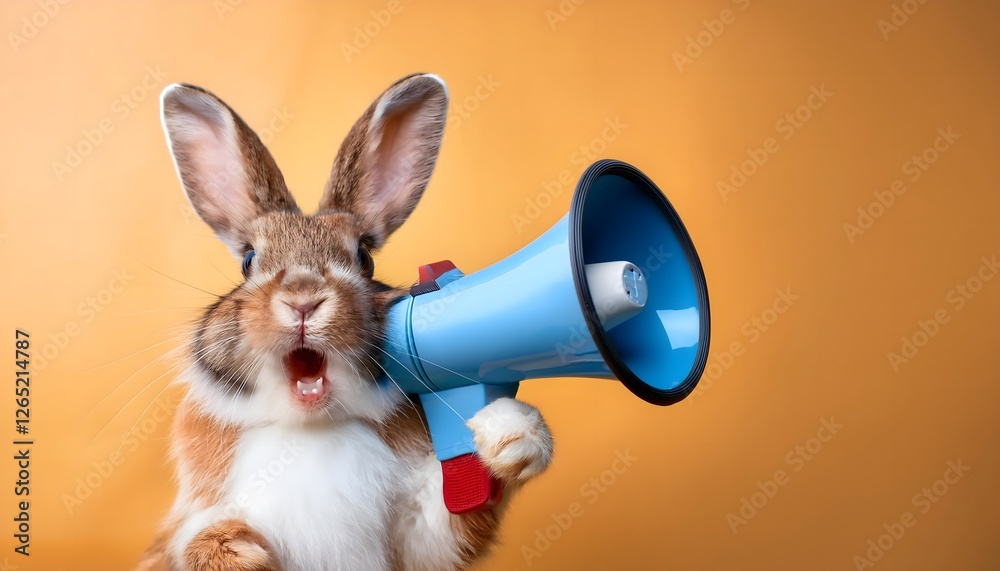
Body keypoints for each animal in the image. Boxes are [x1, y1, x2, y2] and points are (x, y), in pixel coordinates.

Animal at [137, 74, 553, 571]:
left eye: (364, 257)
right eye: (249, 261)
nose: (303, 299)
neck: (311, 428)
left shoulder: (422, 540)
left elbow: (450, 524)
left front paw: (515, 432)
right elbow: (193, 540)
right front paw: (235, 546)